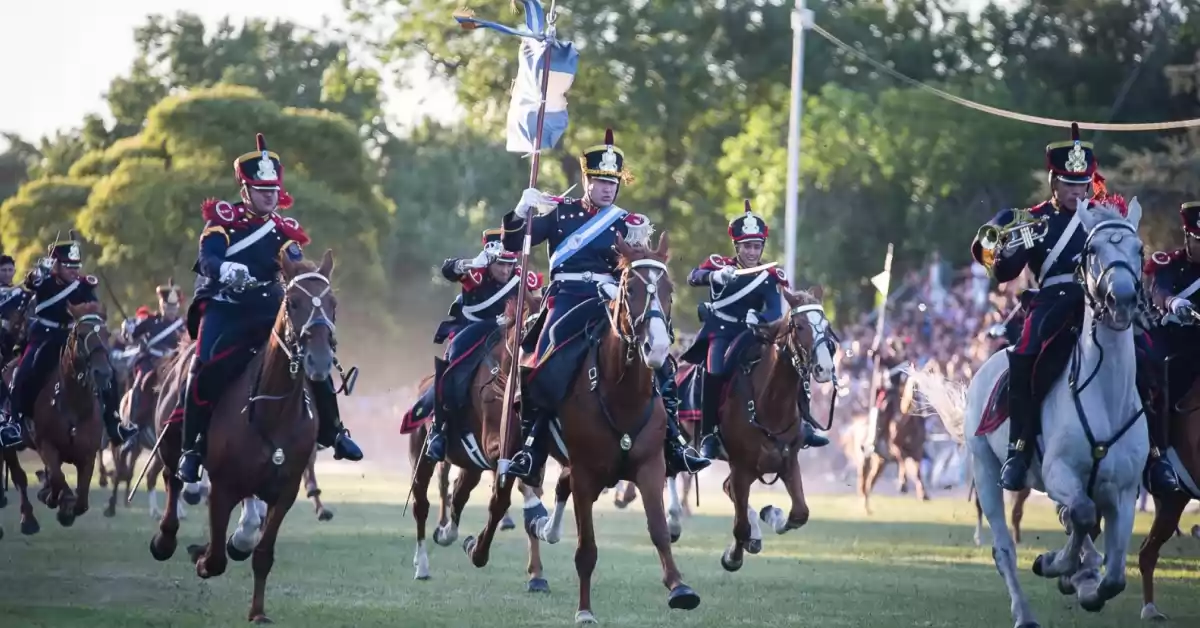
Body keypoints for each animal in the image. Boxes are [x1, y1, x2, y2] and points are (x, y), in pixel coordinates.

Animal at [0, 302, 114, 533]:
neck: (74, 404)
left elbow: (82, 500)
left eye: (107, 334)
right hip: (9, 445)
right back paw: (28, 519)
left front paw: (64, 509)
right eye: (81, 334)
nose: (103, 373)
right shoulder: (46, 446)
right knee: (19, 476)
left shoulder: (88, 456)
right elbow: (57, 477)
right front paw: (56, 500)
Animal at [149, 252, 340, 624]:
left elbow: (262, 554)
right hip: (171, 445)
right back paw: (165, 539)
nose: (320, 362)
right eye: (293, 303)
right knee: (172, 478)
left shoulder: (285, 491)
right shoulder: (222, 487)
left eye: (332, 304)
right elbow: (216, 559)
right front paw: (203, 558)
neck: (273, 409)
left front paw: (258, 612)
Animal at [408, 284, 549, 585]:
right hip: (422, 457)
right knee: (421, 504)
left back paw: (446, 533)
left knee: (458, 494)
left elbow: (514, 491)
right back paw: (422, 564)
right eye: (529, 333)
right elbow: (506, 492)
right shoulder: (495, 446)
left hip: (470, 465)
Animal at [463, 231, 700, 624]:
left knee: (556, 488)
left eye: (669, 288)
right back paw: (479, 549)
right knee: (501, 500)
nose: (657, 348)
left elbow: (659, 531)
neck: (620, 391)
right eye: (629, 287)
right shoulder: (587, 474)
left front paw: (680, 588)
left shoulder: (649, 466)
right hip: (513, 447)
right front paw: (585, 611)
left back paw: (544, 529)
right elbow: (586, 548)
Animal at [912, 200, 1147, 628]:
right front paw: (1056, 564)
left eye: (1139, 249)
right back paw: (1026, 610)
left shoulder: (1123, 492)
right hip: (987, 472)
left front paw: (1085, 580)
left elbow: (1116, 574)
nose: (1121, 299)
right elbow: (1083, 515)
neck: (1105, 395)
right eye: (1092, 249)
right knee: (1005, 547)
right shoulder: (1058, 473)